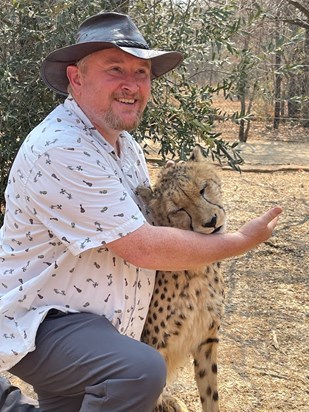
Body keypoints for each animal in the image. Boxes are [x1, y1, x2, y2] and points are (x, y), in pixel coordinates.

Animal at [138, 146, 225, 412]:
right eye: (178, 210)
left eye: (203, 189)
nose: (211, 222)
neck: (199, 270)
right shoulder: (154, 347)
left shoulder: (206, 339)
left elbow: (210, 395)